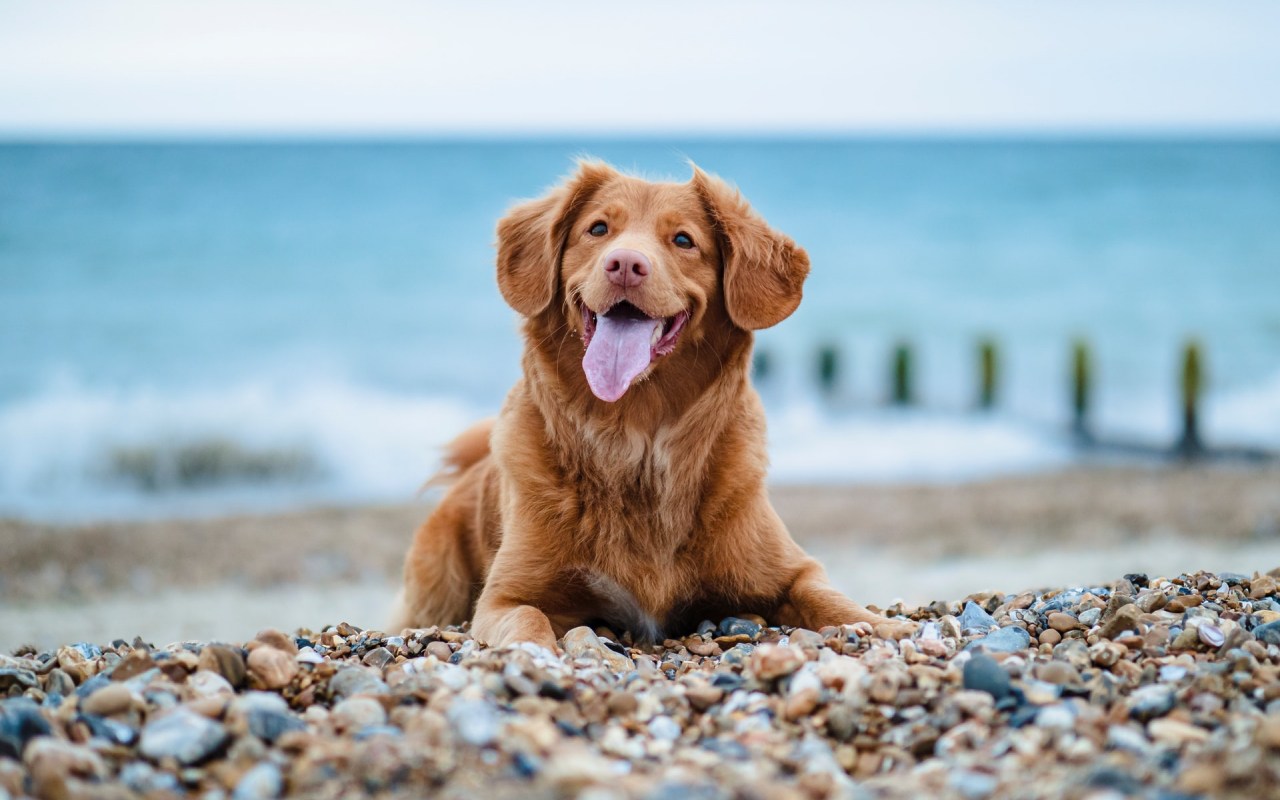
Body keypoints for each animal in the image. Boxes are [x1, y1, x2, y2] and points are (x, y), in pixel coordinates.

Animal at [389, 162, 911, 650]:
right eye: (598, 229)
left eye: (683, 240)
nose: (624, 264)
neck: (634, 438)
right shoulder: (505, 596)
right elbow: (527, 619)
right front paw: (537, 655)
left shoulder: (793, 569)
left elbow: (829, 597)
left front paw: (885, 627)